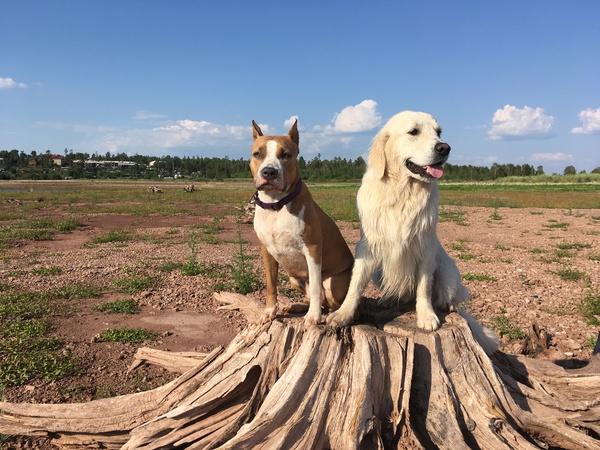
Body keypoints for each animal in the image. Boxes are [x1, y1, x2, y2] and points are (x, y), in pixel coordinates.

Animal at [250, 118, 354, 326]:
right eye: (257, 154)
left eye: (286, 155)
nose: (269, 172)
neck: (276, 204)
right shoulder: (267, 250)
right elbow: (271, 284)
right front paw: (269, 311)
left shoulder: (312, 249)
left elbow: (314, 287)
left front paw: (313, 317)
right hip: (294, 278)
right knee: (311, 298)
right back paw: (297, 306)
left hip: (334, 283)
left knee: (330, 302)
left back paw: (327, 314)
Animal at [328, 110, 474, 332]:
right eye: (413, 131)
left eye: (438, 132)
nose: (444, 148)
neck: (402, 192)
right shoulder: (368, 247)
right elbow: (355, 284)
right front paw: (343, 314)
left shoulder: (424, 248)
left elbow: (424, 287)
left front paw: (426, 316)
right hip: (379, 272)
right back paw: (388, 300)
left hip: (448, 272)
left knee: (446, 295)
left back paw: (447, 305)